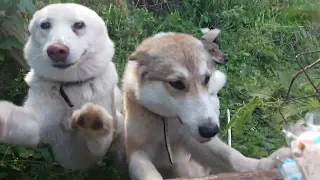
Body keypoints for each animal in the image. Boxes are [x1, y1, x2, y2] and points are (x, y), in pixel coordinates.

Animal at [0, 3, 124, 170]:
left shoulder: (94, 149)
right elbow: (18, 120)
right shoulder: (39, 127)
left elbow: (98, 140)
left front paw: (92, 121)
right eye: (45, 25)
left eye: (79, 24)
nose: (56, 50)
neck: (70, 86)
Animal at [121, 28, 292, 179]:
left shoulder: (195, 141)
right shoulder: (136, 151)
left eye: (206, 79)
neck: (166, 122)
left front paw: (264, 164)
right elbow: (151, 174)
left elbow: (232, 157)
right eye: (177, 84)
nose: (210, 130)